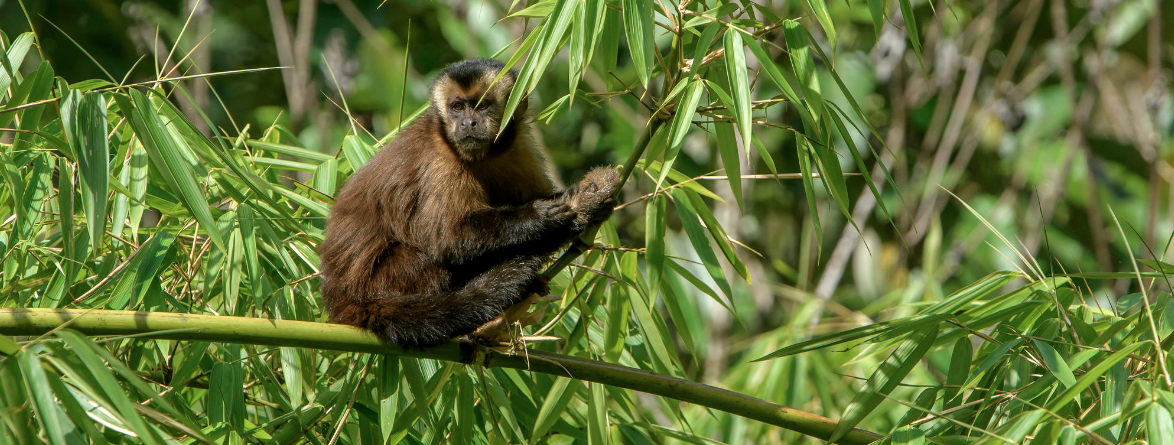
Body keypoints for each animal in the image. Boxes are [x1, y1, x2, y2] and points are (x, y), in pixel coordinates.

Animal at [316, 57, 619, 347]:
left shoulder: (518, 146)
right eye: (458, 107)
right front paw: (538, 218)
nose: (467, 124)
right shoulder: (441, 162)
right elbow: (448, 238)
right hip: (384, 280)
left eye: (482, 106)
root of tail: (341, 299)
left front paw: (589, 203)